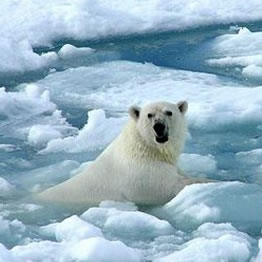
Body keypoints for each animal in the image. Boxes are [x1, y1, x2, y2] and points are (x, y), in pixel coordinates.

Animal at [36, 101, 209, 206]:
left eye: (169, 112)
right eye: (149, 115)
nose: (159, 126)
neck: (145, 148)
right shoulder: (142, 175)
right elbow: (169, 186)